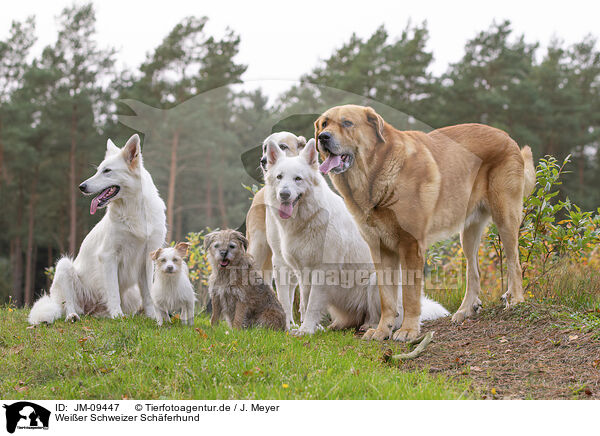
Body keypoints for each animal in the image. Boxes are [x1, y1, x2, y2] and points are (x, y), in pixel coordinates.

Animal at [28, 135, 166, 324]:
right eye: (99, 170)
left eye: (107, 171)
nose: (81, 186)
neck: (134, 209)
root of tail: (91, 309)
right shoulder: (108, 256)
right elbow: (113, 292)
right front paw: (117, 316)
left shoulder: (147, 258)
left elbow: (148, 295)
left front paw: (153, 317)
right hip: (64, 266)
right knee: (69, 304)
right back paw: (73, 316)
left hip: (131, 293)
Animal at [264, 138, 448, 336]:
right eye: (279, 177)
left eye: (298, 179)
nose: (284, 195)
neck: (309, 219)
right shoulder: (303, 273)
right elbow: (305, 303)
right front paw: (311, 327)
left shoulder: (322, 272)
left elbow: (312, 304)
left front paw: (306, 330)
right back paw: (337, 325)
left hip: (376, 281)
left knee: (380, 315)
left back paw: (371, 327)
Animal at [314, 104, 536, 340]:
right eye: (324, 123)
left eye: (347, 123)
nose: (323, 137)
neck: (375, 172)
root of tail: (507, 137)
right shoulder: (381, 250)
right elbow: (387, 298)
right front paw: (382, 331)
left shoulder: (410, 246)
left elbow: (410, 296)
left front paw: (408, 330)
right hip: (468, 234)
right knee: (473, 271)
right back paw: (465, 310)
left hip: (505, 218)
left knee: (514, 262)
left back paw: (516, 300)